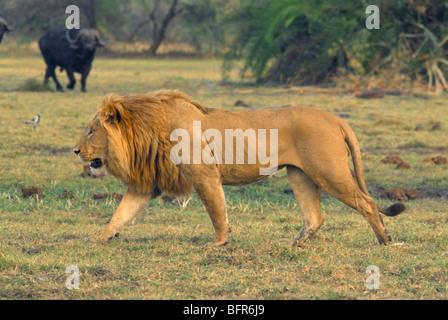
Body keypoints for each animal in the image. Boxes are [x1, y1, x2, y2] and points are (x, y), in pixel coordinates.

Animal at [74, 90, 406, 248]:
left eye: (91, 131)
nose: (75, 150)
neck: (147, 131)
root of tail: (336, 118)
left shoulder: (205, 174)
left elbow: (216, 210)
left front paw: (219, 242)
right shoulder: (148, 183)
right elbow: (121, 214)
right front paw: (99, 238)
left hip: (329, 171)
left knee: (367, 202)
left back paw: (385, 240)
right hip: (299, 174)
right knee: (315, 217)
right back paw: (294, 243)